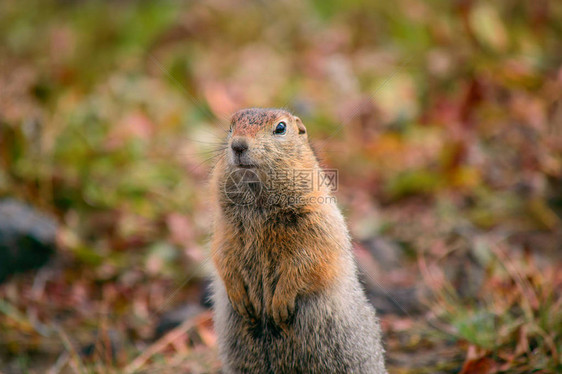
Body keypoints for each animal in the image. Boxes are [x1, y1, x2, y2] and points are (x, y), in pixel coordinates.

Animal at [209, 107, 384, 372]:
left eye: (281, 128)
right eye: (231, 127)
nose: (237, 145)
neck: (259, 205)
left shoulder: (315, 223)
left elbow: (308, 261)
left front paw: (280, 305)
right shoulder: (224, 227)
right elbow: (222, 255)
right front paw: (239, 297)